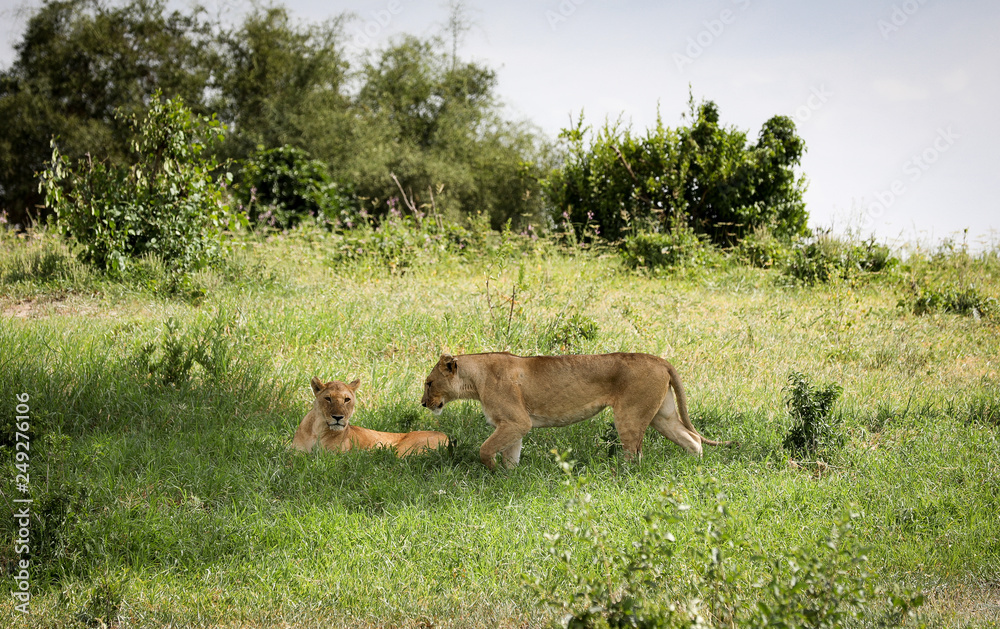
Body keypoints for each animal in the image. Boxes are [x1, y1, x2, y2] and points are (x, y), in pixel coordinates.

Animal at [293, 377, 449, 456]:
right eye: (328, 398)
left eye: (347, 399)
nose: (338, 417)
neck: (318, 429)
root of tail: (447, 436)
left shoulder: (335, 456)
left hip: (404, 450)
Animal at [420, 352, 731, 470]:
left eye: (429, 383)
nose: (423, 404)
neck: (476, 379)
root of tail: (660, 359)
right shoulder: (514, 425)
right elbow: (511, 454)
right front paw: (509, 477)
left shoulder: (516, 422)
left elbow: (485, 449)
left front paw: (493, 471)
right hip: (661, 415)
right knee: (693, 439)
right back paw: (694, 467)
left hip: (629, 416)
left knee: (635, 454)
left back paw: (620, 474)